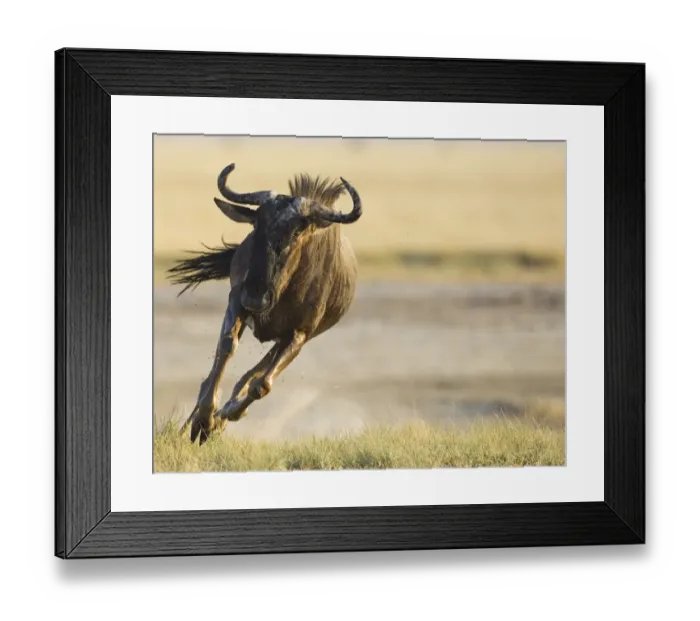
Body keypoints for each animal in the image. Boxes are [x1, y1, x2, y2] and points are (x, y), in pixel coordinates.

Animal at [168, 163, 362, 443]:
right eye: (256, 225)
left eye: (297, 231)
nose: (256, 296)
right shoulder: (236, 301)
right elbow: (226, 346)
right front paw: (203, 421)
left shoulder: (299, 335)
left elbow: (262, 385)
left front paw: (218, 420)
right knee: (221, 375)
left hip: (289, 340)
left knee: (250, 377)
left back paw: (222, 418)